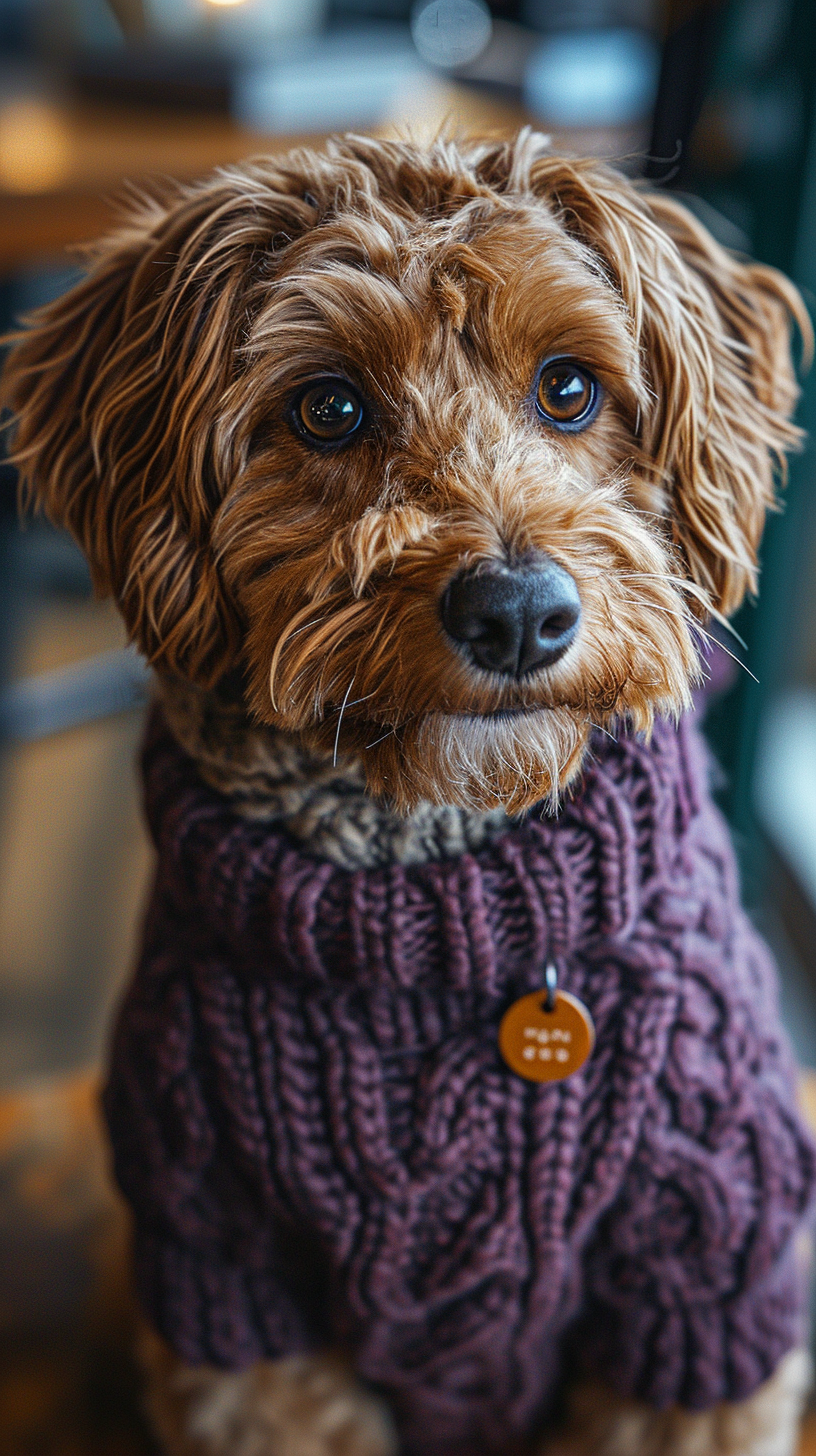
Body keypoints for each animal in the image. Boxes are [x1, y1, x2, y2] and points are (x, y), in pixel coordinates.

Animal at [4, 131, 816, 1450]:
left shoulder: (705, 1283)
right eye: (328, 407)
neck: (434, 914)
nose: (519, 612)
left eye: (570, 388)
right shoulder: (224, 1285)